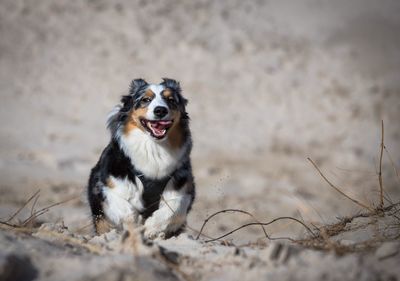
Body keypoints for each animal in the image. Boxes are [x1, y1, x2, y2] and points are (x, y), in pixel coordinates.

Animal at [87, 77, 195, 237]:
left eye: (170, 100)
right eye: (146, 99)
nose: (160, 110)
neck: (153, 148)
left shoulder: (183, 188)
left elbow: (174, 208)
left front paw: (152, 227)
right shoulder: (107, 185)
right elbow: (124, 208)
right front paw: (136, 225)